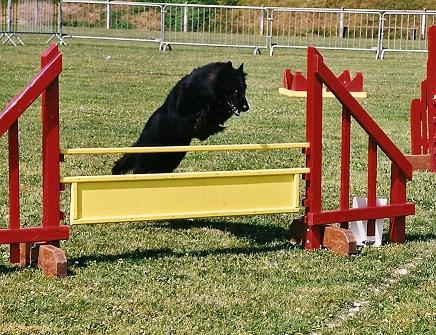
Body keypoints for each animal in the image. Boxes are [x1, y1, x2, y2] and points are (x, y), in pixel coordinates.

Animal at [111, 61, 249, 175]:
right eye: (235, 90)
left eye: (243, 90)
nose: (246, 107)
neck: (206, 91)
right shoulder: (179, 118)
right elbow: (197, 117)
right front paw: (203, 117)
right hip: (149, 156)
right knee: (139, 170)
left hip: (171, 160)